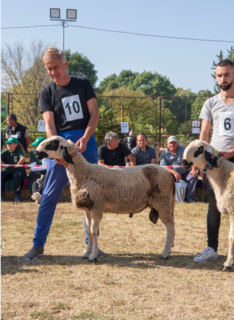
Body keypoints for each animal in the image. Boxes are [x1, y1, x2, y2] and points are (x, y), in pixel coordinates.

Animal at [36, 135, 176, 262]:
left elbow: (93, 231)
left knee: (170, 226)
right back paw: (169, 249)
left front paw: (93, 256)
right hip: (166, 203)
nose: (36, 152)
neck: (84, 173)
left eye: (52, 143)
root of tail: (169, 175)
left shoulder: (97, 206)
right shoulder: (88, 209)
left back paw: (165, 253)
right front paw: (87, 252)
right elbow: (88, 230)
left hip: (162, 202)